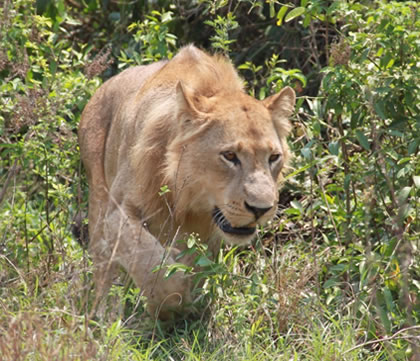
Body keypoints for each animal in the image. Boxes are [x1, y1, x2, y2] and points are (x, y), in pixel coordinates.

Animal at [79, 44, 296, 318]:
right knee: (104, 271)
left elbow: (190, 267)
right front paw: (167, 305)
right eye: (229, 156)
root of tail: (101, 87)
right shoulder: (116, 214)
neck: (188, 199)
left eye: (274, 157)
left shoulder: (207, 236)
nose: (261, 209)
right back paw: (104, 318)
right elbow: (152, 263)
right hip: (98, 201)